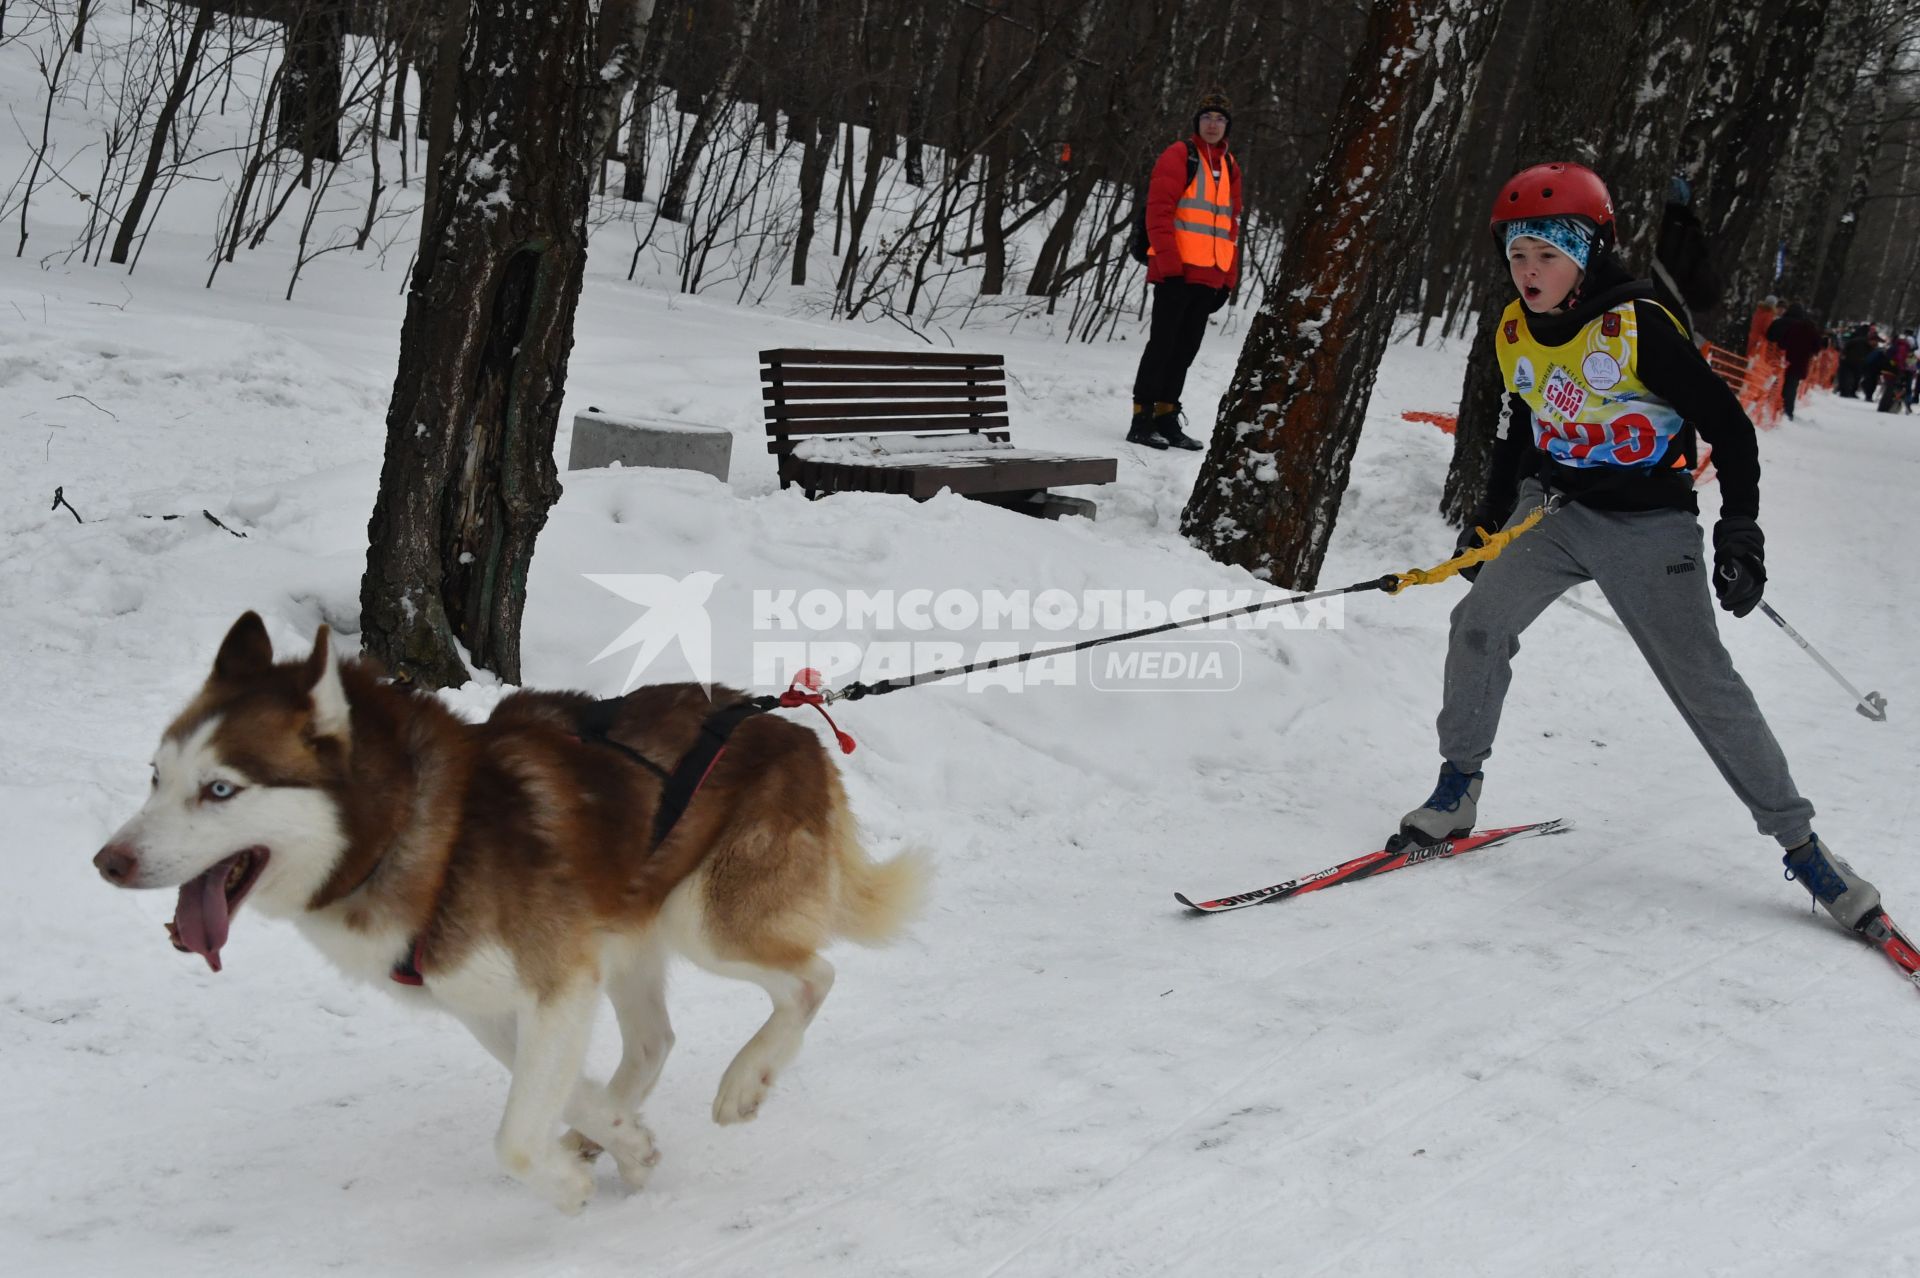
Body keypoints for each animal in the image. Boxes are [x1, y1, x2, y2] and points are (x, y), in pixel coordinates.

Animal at [93, 614, 925, 1212]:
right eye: (156, 776)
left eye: (220, 790)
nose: (108, 862)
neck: (422, 829)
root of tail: (793, 727)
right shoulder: (491, 1001)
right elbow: (567, 1090)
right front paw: (622, 1141)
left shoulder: (558, 981)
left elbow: (515, 1139)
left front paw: (569, 1180)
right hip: (630, 930)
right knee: (654, 1040)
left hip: (706, 920)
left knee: (813, 977)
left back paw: (746, 1081)